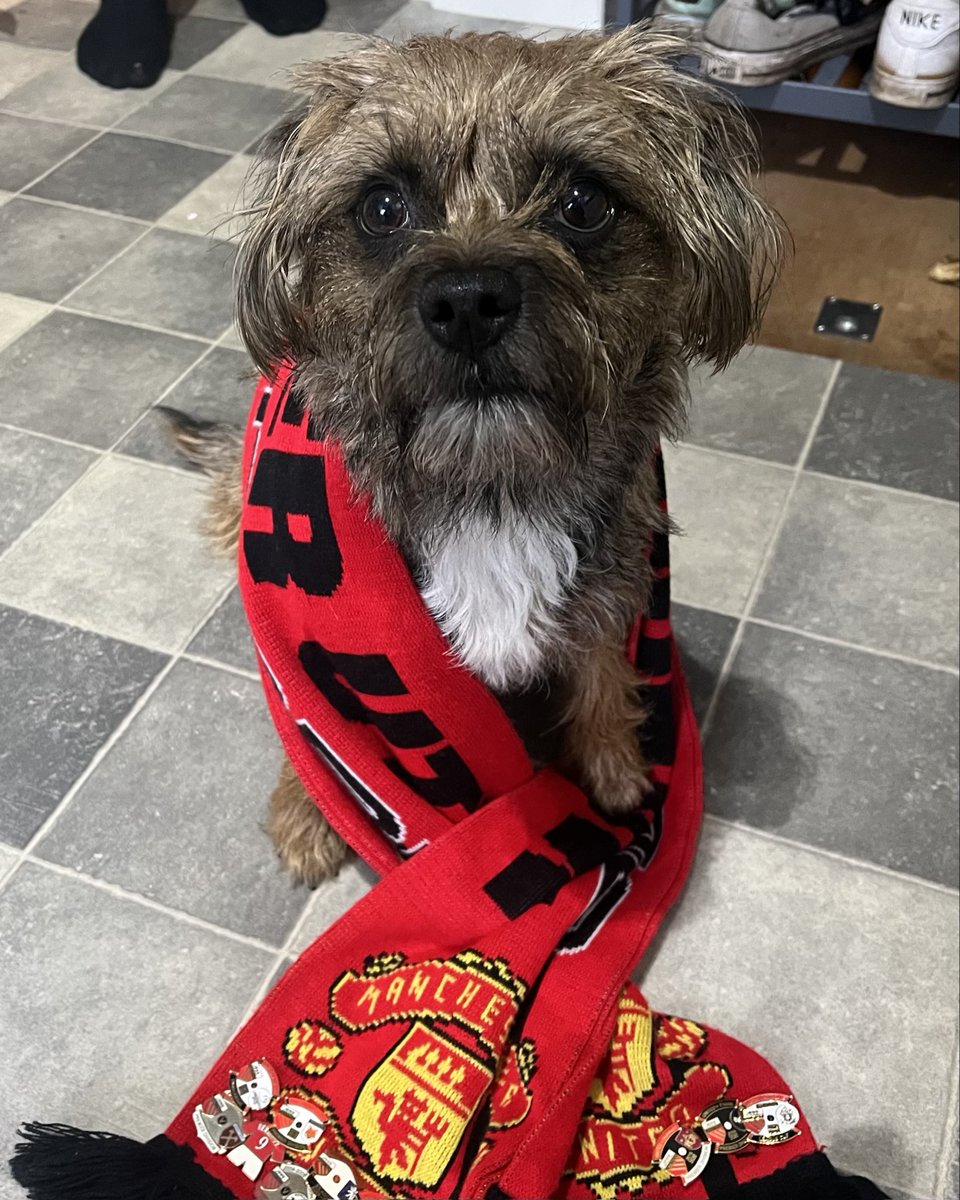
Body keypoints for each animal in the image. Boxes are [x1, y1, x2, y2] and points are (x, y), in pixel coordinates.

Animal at [176, 23, 777, 888]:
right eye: (382, 208)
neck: (490, 487)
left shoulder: (615, 584)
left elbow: (602, 672)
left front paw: (616, 772)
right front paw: (308, 806)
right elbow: (307, 726)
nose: (467, 302)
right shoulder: (314, 663)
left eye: (584, 203)